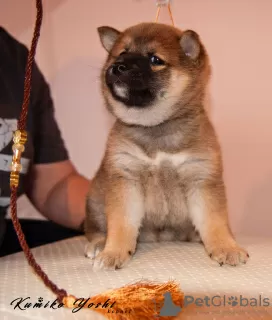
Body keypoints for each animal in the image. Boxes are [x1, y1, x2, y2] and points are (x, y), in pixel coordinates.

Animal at [84, 21, 250, 270]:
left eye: (155, 60)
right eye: (122, 53)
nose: (117, 66)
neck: (156, 128)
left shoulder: (201, 178)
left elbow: (214, 222)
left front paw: (226, 247)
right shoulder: (126, 178)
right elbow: (121, 224)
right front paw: (113, 252)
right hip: (95, 200)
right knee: (94, 229)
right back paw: (98, 244)